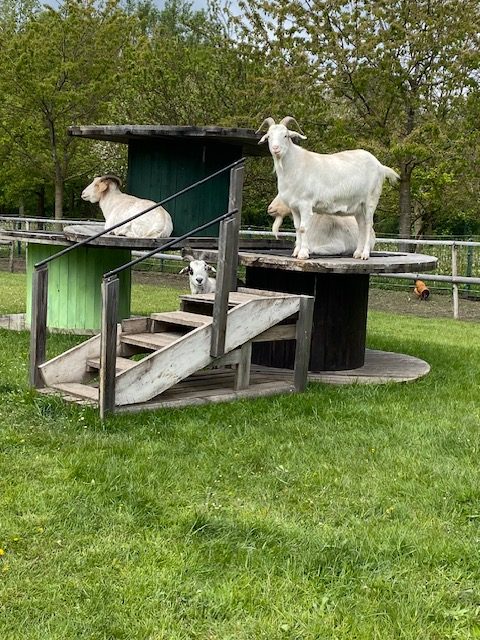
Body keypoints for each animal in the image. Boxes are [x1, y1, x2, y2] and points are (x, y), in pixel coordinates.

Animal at [256, 116, 400, 258]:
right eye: (269, 136)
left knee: (369, 224)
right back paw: (357, 253)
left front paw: (303, 254)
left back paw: (365, 254)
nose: (276, 149)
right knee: (362, 226)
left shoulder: (305, 204)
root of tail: (380, 166)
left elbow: (303, 228)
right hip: (359, 206)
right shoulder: (294, 207)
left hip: (371, 200)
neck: (295, 165)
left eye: (285, 135)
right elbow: (297, 227)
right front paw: (296, 252)